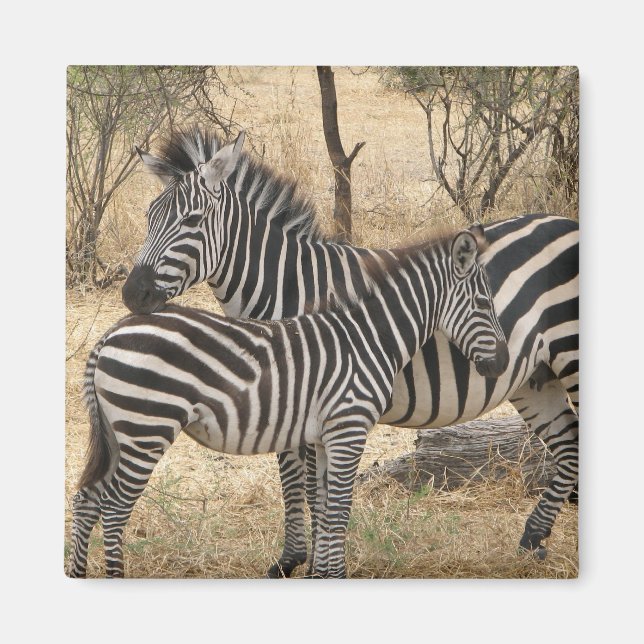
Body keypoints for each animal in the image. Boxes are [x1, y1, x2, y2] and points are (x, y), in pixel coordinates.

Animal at [68, 227, 508, 578]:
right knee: (114, 508)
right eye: (484, 305)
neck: (368, 337)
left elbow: (326, 509)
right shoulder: (349, 428)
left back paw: (78, 574)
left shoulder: (328, 435)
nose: (503, 363)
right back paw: (115, 576)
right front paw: (332, 576)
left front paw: (324, 575)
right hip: (146, 428)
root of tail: (110, 333)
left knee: (88, 499)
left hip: (120, 433)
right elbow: (338, 511)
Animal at [121, 126, 579, 575]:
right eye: (148, 217)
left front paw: (307, 565)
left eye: (191, 220)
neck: (289, 288)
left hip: (570, 356)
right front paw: (294, 560)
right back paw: (533, 539)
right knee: (568, 443)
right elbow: (292, 476)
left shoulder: (309, 397)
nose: (133, 294)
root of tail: (565, 222)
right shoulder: (287, 400)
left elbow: (306, 483)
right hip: (534, 379)